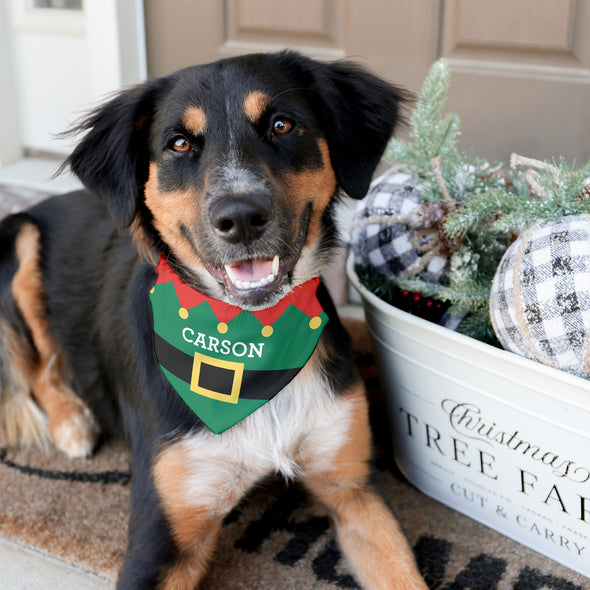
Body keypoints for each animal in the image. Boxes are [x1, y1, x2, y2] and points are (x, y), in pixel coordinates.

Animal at [0, 52, 428, 590]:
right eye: (180, 144)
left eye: (282, 125)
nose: (241, 218)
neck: (249, 338)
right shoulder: (161, 539)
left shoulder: (353, 489)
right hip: (20, 241)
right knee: (39, 365)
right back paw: (72, 422)